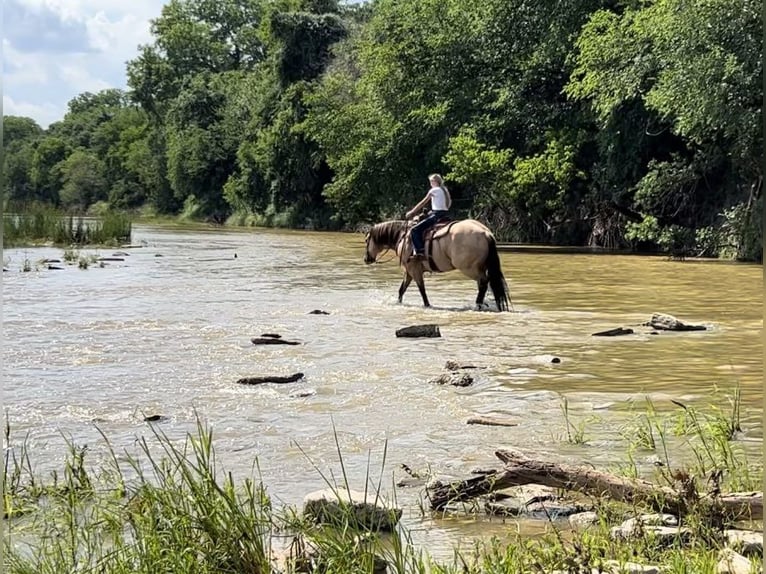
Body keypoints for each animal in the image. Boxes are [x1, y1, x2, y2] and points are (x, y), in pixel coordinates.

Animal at [364, 218, 510, 312]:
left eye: (366, 240)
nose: (366, 259)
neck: (403, 237)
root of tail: (486, 233)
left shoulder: (415, 270)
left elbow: (422, 290)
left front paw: (427, 305)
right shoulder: (409, 271)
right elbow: (402, 289)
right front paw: (398, 303)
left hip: (469, 268)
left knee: (483, 282)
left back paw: (478, 305)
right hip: (481, 267)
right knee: (485, 284)